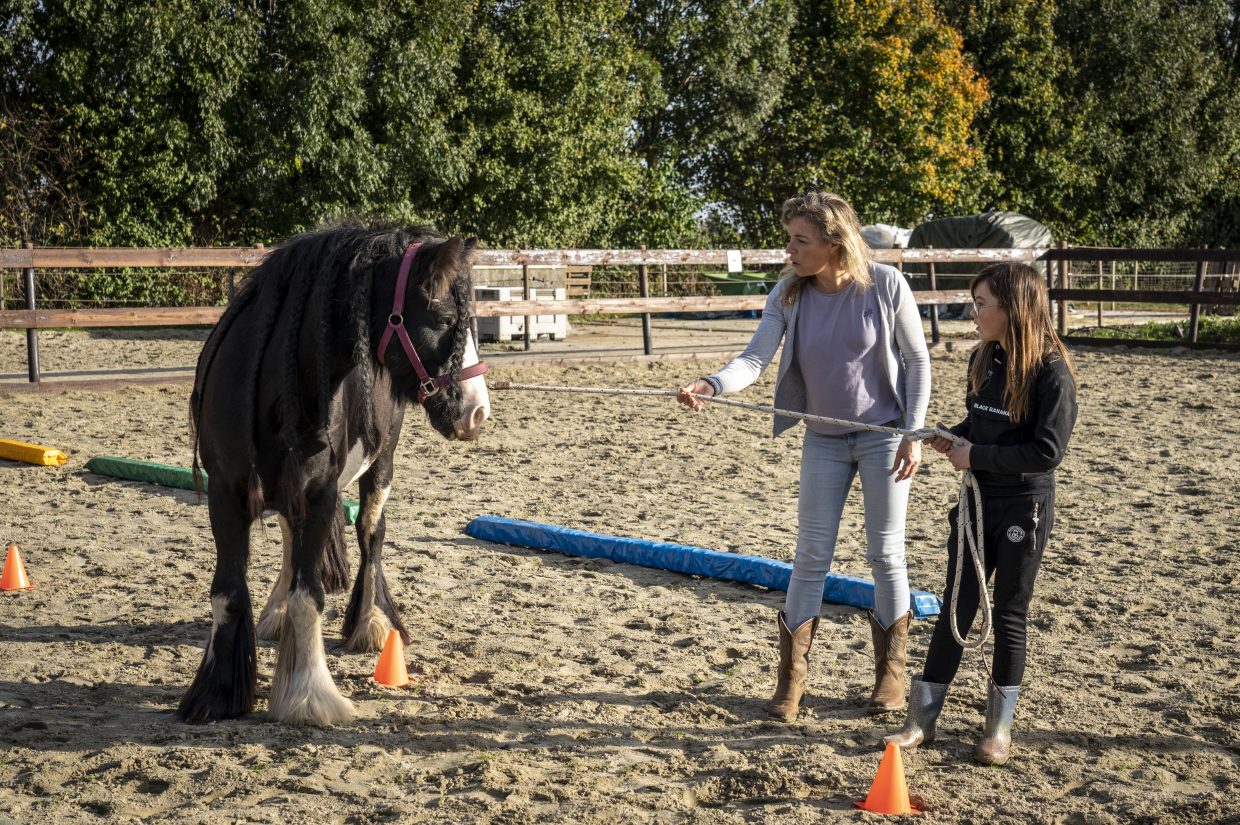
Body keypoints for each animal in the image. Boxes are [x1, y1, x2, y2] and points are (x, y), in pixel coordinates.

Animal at [179, 222, 488, 724]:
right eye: (444, 320)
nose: (477, 412)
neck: (276, 386)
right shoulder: (226, 493)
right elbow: (227, 592)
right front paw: (215, 694)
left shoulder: (320, 492)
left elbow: (311, 597)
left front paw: (308, 697)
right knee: (292, 543)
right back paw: (275, 616)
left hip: (380, 466)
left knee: (370, 535)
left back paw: (371, 623)